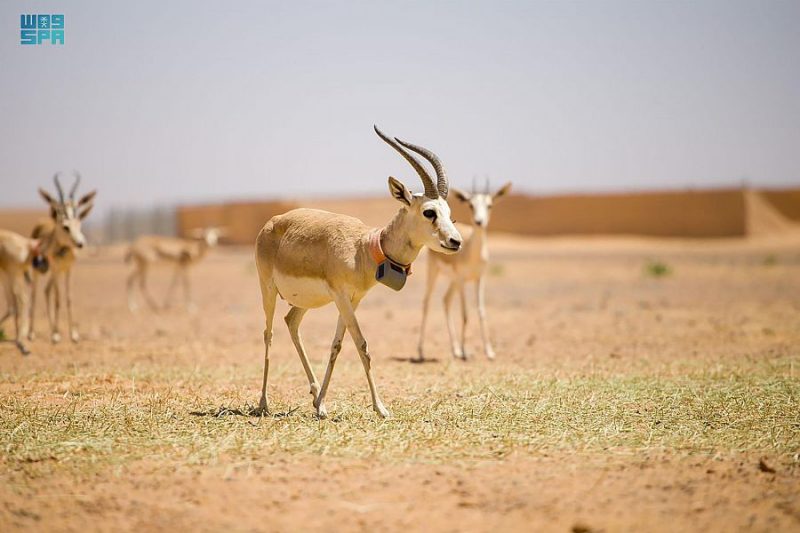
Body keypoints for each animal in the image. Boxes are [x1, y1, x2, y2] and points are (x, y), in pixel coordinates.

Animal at [29, 172, 97, 344]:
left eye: (79, 224)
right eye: (65, 226)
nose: (80, 243)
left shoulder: (69, 268)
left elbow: (68, 298)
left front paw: (73, 335)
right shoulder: (54, 267)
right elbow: (58, 299)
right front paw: (56, 334)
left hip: (57, 272)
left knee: (47, 291)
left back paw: (52, 328)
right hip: (40, 271)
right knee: (35, 294)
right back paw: (32, 333)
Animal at [254, 126, 463, 419]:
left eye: (449, 212)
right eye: (429, 212)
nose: (456, 241)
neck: (363, 248)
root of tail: (270, 224)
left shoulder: (352, 300)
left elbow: (337, 345)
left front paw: (322, 405)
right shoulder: (341, 297)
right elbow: (361, 344)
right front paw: (381, 408)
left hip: (305, 301)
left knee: (291, 322)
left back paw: (316, 398)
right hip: (268, 289)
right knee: (268, 333)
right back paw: (263, 403)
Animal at [417, 179, 511, 362]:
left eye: (489, 205)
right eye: (470, 205)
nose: (479, 222)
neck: (472, 252)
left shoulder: (480, 278)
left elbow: (481, 311)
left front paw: (489, 352)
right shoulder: (462, 279)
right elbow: (465, 313)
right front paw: (465, 350)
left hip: (453, 281)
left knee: (446, 300)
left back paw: (455, 350)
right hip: (435, 272)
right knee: (426, 302)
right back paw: (421, 352)